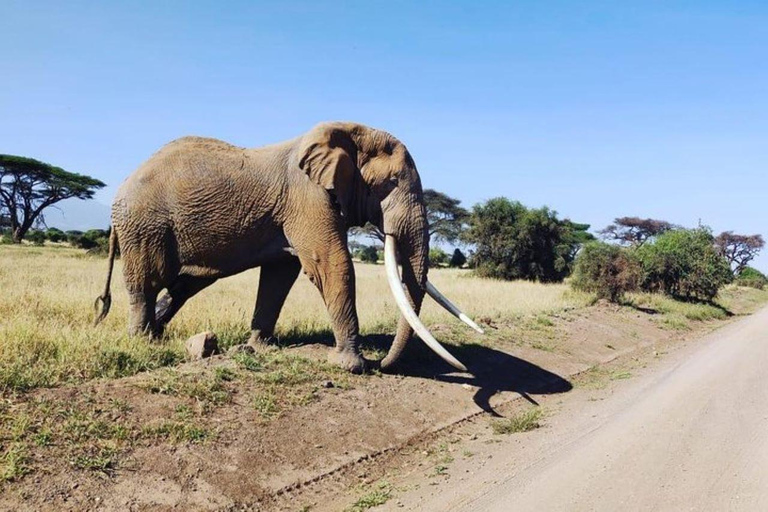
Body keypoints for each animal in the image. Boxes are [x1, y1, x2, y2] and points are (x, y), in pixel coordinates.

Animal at [94, 122, 480, 374]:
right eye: (392, 182)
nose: (382, 363)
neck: (348, 134)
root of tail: (122, 185)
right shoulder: (306, 195)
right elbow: (332, 263)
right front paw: (351, 365)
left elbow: (281, 275)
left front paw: (257, 347)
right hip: (144, 225)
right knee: (148, 281)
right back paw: (143, 341)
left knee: (183, 285)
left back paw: (159, 334)